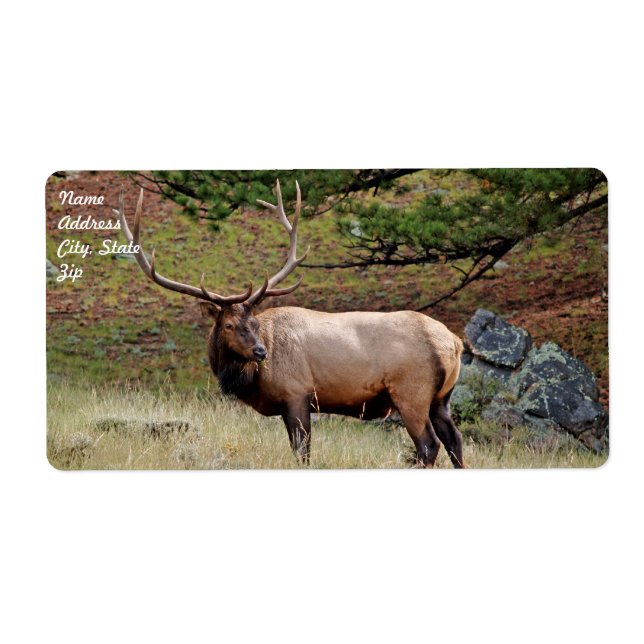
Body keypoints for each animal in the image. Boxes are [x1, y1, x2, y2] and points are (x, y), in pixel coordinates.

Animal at [115, 180, 465, 468]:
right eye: (228, 325)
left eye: (254, 322)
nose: (260, 352)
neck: (249, 380)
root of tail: (455, 343)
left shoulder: (297, 394)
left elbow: (302, 453)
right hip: (441, 398)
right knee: (455, 442)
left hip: (411, 392)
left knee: (429, 445)